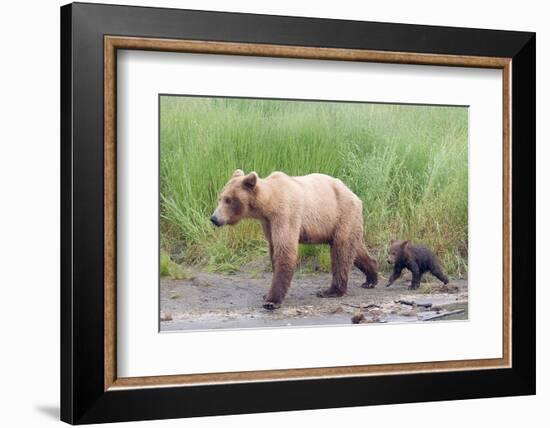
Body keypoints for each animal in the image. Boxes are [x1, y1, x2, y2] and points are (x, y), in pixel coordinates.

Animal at [211, 169, 380, 310]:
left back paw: (332, 290)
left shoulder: (285, 214)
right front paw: (267, 295)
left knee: (341, 251)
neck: (268, 204)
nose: (214, 218)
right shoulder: (268, 223)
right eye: (220, 198)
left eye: (228, 200)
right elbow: (274, 250)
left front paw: (271, 301)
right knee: (355, 249)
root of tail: (354, 195)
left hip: (341, 214)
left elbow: (285, 250)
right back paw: (371, 278)